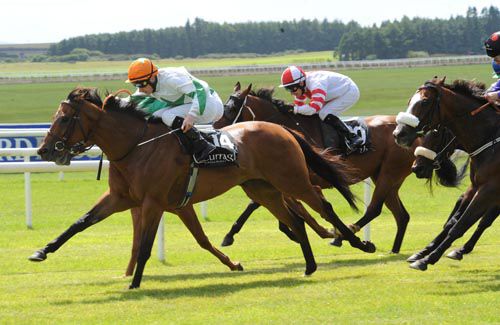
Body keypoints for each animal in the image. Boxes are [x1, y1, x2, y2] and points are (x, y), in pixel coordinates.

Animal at [28, 87, 376, 288]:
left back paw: (356, 242)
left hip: (293, 179)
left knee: (322, 207)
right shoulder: (121, 198)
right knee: (294, 219)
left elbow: (145, 245)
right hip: (261, 188)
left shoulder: (154, 201)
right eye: (55, 117)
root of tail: (283, 129)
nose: (44, 150)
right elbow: (80, 222)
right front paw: (41, 251)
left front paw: (134, 284)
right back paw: (309, 265)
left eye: (64, 119)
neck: (135, 145)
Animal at [213, 82, 420, 252]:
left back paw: (343, 237)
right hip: (387, 176)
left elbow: (255, 203)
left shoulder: (297, 178)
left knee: (375, 209)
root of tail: (411, 135)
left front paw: (230, 235)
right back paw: (393, 250)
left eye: (231, 109)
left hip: (389, 173)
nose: (217, 131)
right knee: (402, 215)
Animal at [408, 125, 498, 262]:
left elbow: (480, 221)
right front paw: (424, 251)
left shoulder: (490, 190)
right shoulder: (477, 187)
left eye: (436, 134)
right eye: (423, 134)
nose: (416, 168)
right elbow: (454, 221)